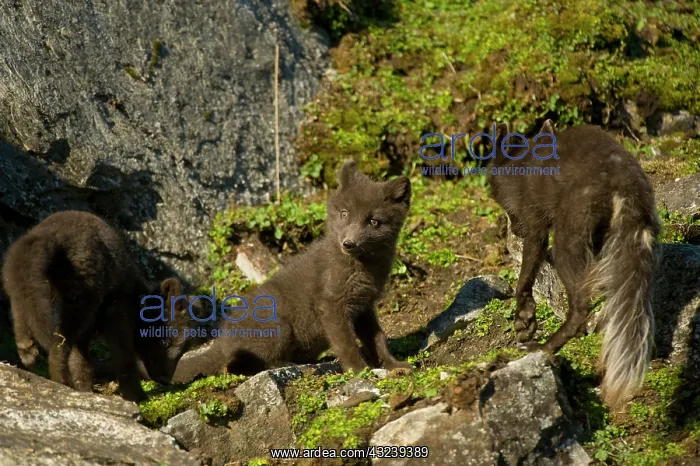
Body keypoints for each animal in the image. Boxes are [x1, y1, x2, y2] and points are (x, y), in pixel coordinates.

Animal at [1, 210, 193, 401]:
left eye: (184, 348)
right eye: (164, 342)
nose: (165, 380)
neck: (134, 298)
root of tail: (47, 236)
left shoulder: (86, 333)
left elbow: (82, 363)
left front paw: (85, 390)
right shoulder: (115, 315)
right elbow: (125, 358)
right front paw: (136, 396)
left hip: (23, 287)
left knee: (22, 316)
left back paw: (28, 352)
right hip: (79, 302)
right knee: (59, 343)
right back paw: (61, 381)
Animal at [173, 160, 411, 382]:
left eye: (374, 221)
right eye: (345, 214)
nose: (348, 243)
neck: (363, 268)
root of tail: (221, 340)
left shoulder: (364, 307)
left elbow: (378, 339)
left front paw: (394, 365)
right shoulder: (331, 305)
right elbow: (346, 343)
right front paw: (359, 370)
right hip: (277, 326)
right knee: (234, 366)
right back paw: (288, 365)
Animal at [487, 120, 661, 407]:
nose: (514, 230)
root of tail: (624, 178)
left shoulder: (535, 222)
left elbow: (525, 276)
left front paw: (524, 318)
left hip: (567, 238)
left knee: (581, 305)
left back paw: (545, 347)